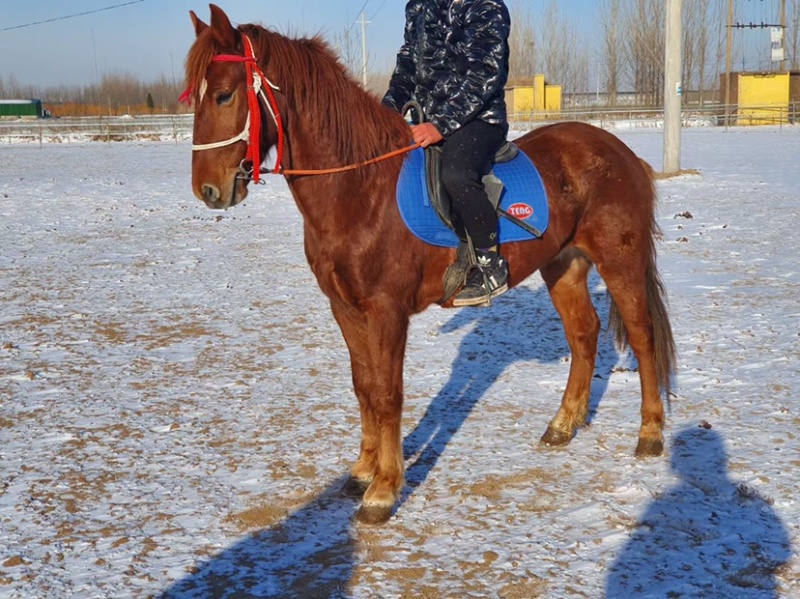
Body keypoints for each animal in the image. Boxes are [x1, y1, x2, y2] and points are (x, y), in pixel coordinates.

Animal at [184, 4, 676, 525]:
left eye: (223, 94)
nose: (209, 190)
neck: (360, 187)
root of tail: (620, 153)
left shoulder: (386, 310)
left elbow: (387, 394)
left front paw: (383, 490)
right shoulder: (345, 307)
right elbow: (363, 386)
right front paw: (362, 471)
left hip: (620, 261)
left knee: (641, 337)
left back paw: (649, 434)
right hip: (564, 265)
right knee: (583, 333)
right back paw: (562, 425)